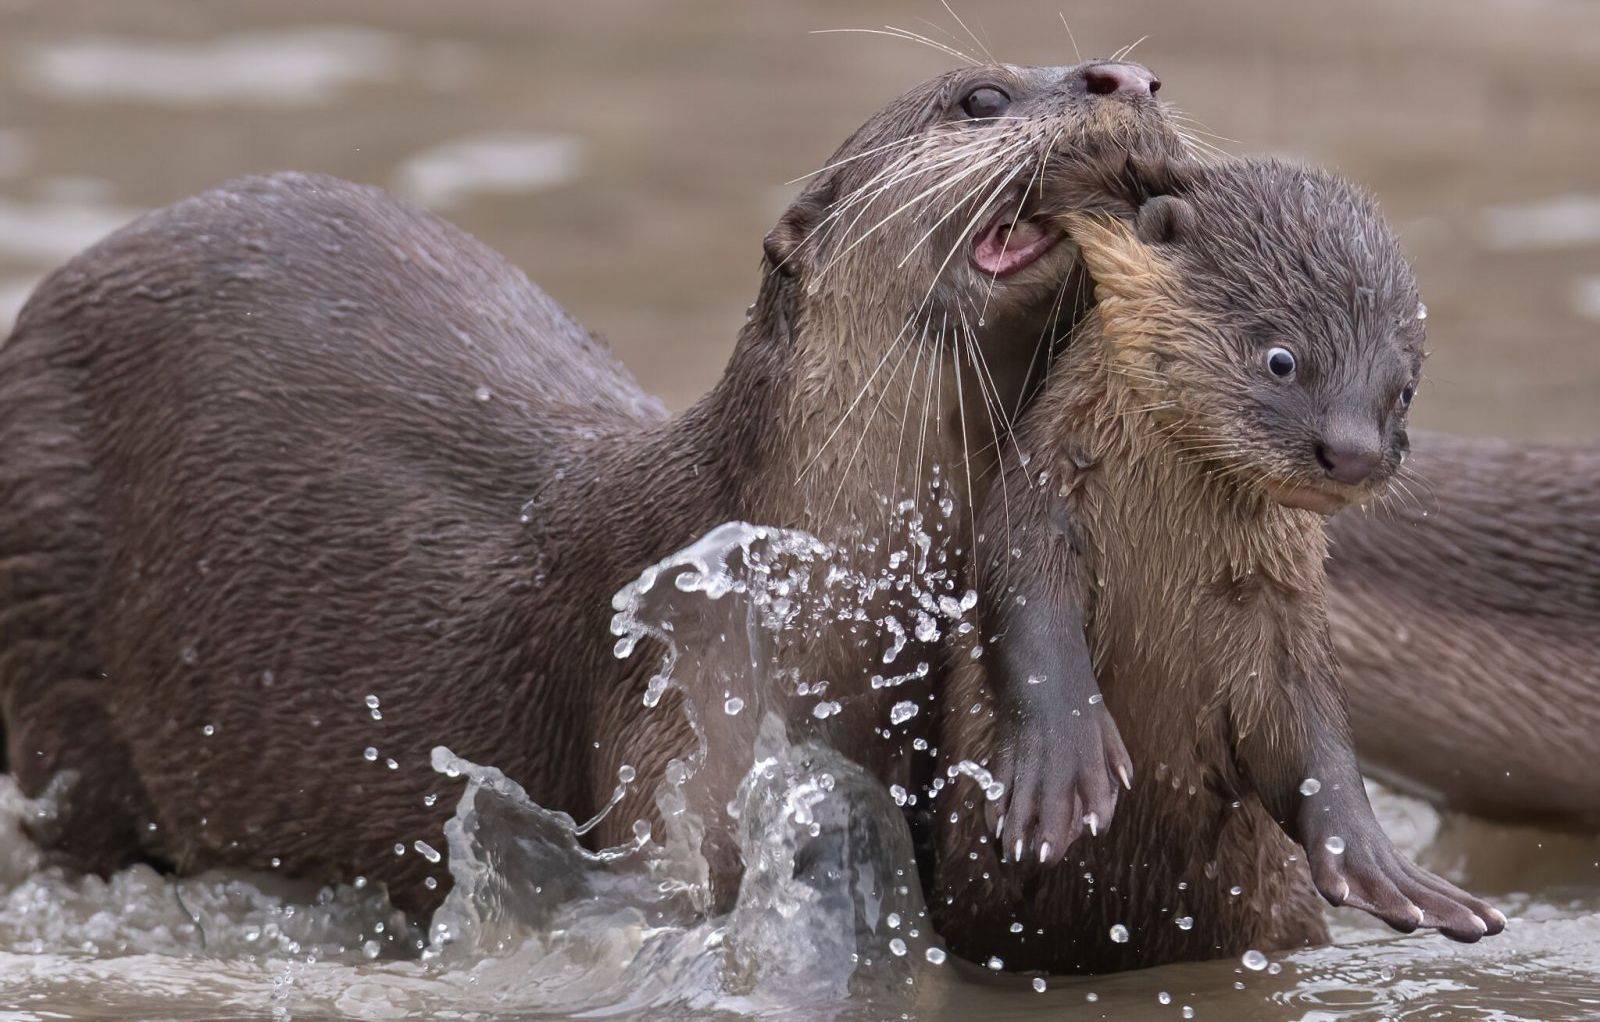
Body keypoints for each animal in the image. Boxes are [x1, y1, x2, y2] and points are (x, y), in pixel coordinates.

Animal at [934, 161, 1497, 972]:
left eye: (1405, 389)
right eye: (1283, 359)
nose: (1354, 452)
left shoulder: (1284, 603)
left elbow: (1312, 727)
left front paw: (1379, 864)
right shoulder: (1038, 502)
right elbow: (1028, 615)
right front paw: (1060, 771)